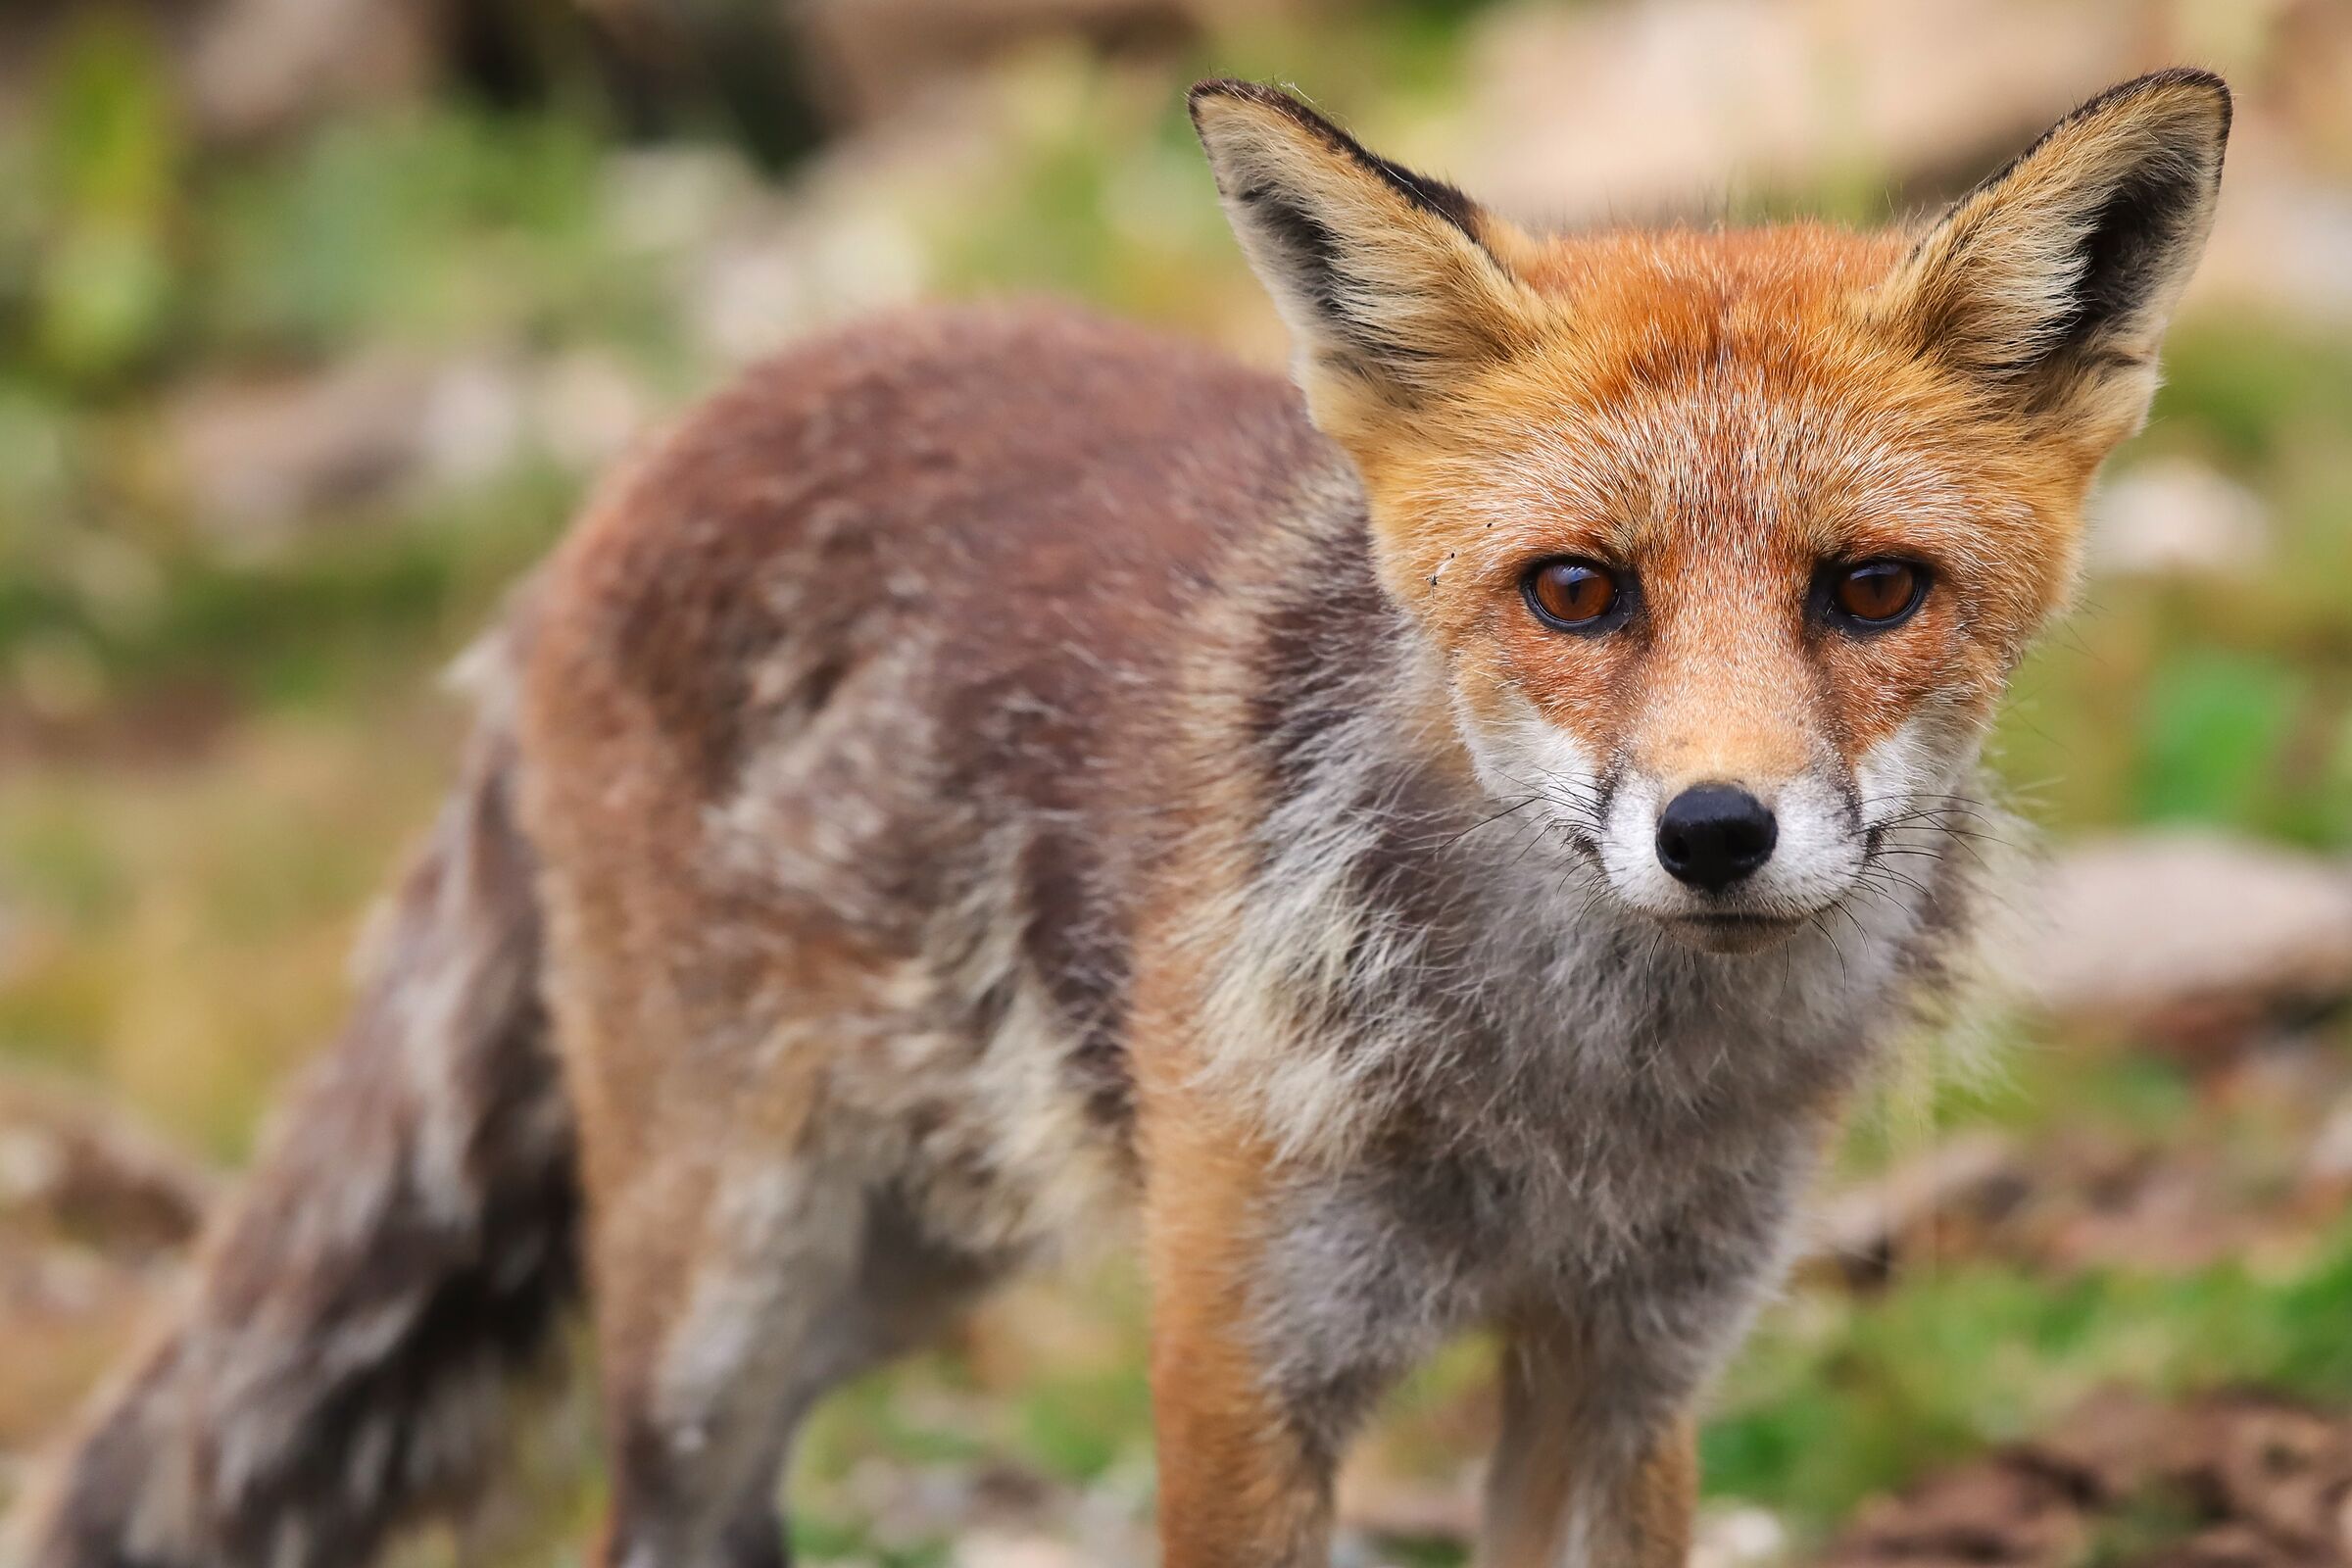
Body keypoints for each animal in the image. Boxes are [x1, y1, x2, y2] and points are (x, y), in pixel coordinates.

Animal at [16, 67, 2230, 1568]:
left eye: (1871, 590)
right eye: (1578, 591)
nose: (1715, 829)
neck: (1574, 1104)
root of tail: (652, 453)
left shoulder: (1627, 1372)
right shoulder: (1237, 1364)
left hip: (918, 1249)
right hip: (722, 1284)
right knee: (665, 1502)